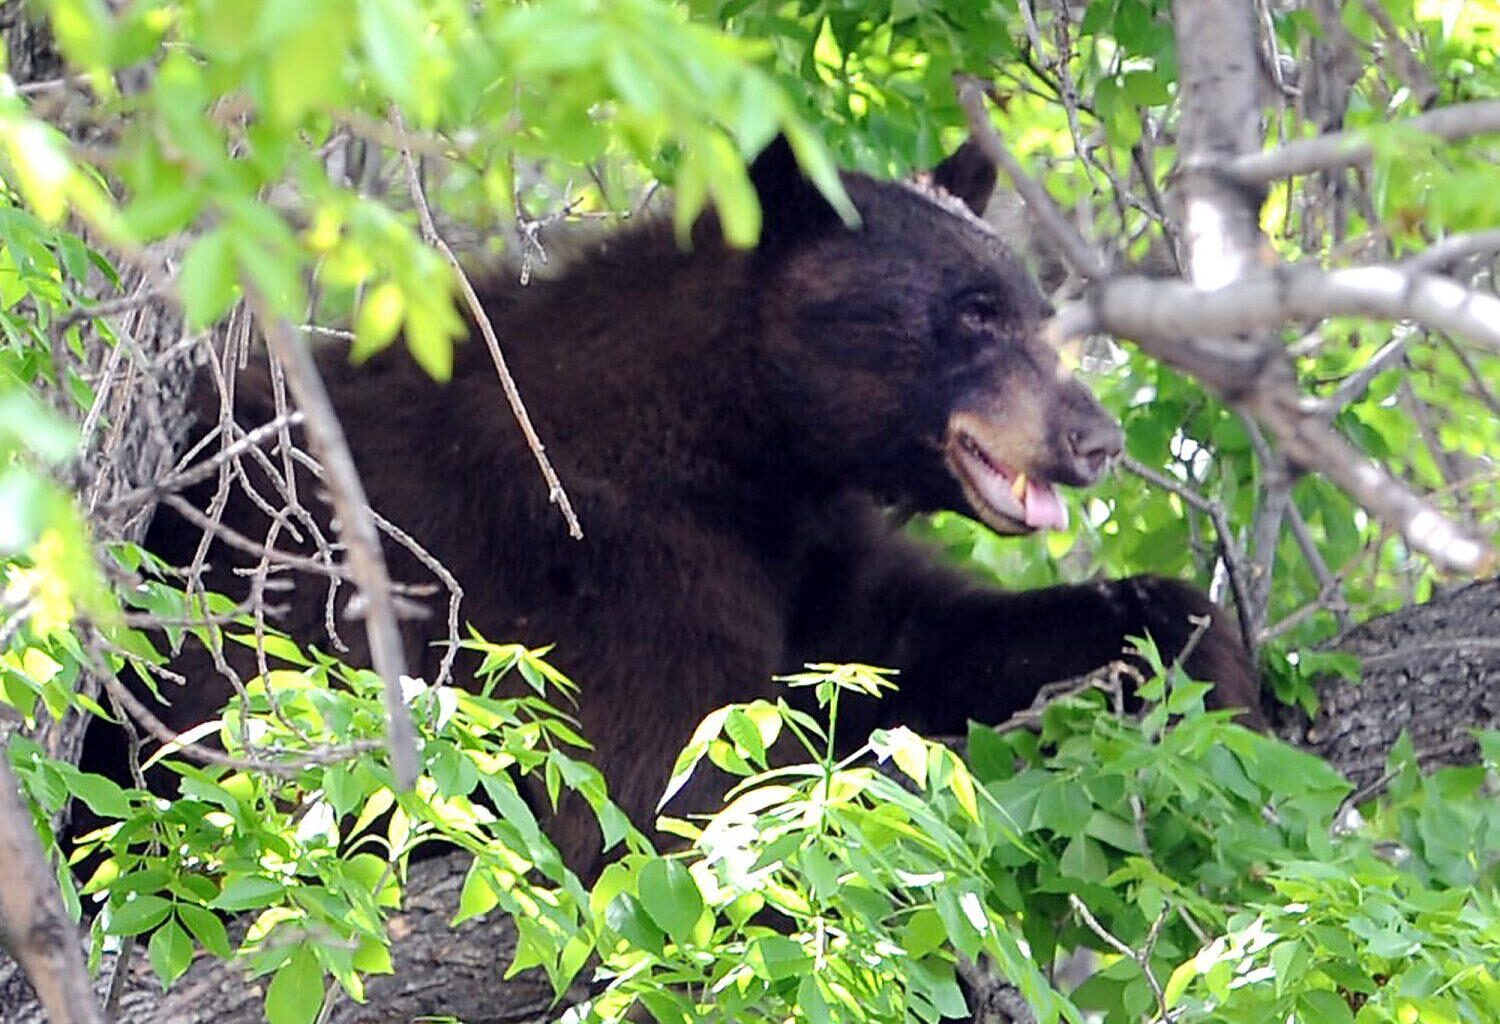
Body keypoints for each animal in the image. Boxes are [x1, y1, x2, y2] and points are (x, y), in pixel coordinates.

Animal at [82, 132, 1260, 879]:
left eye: (1029, 304)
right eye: (971, 313)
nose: (1094, 439)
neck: (741, 442)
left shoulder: (815, 553)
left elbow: (919, 644)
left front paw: (1212, 664)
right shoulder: (616, 557)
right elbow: (659, 785)